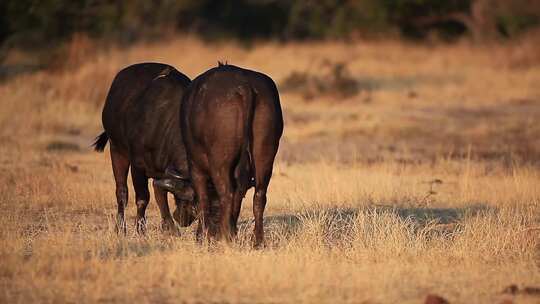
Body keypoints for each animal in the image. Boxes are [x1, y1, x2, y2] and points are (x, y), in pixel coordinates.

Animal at [94, 62, 197, 233]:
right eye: (185, 196)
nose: (184, 219)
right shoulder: (138, 167)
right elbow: (143, 198)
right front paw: (141, 229)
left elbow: (160, 193)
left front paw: (168, 227)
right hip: (117, 150)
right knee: (121, 191)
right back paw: (120, 228)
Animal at [180, 63, 282, 246]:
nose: (182, 219)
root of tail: (244, 86)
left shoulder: (195, 167)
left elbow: (203, 200)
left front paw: (202, 236)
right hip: (264, 154)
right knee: (259, 195)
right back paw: (257, 241)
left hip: (219, 162)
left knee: (227, 194)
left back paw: (224, 237)